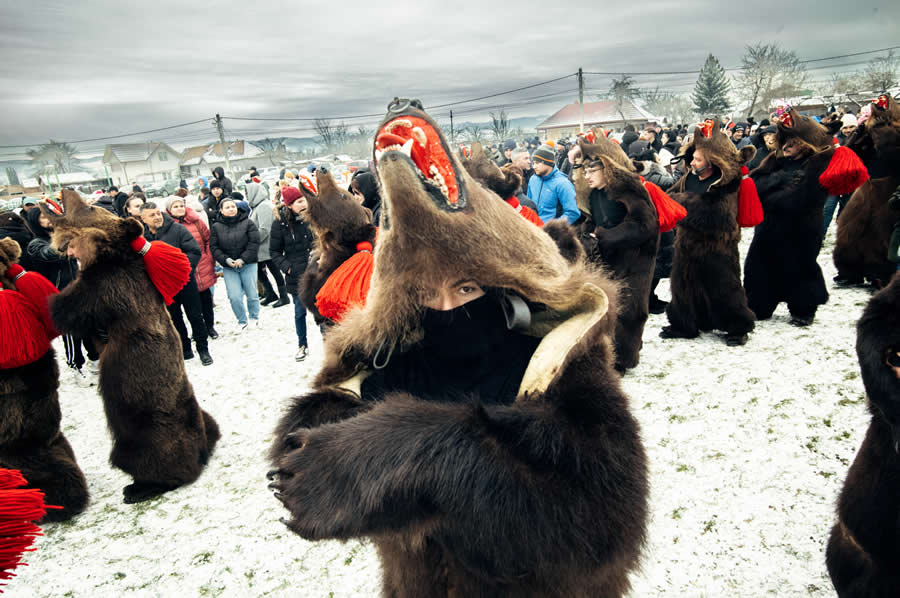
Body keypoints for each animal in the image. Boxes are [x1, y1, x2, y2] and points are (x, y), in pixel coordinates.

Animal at [40, 191, 220, 504]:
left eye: (89, 208)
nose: (66, 191)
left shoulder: (104, 286)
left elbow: (65, 309)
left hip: (144, 423)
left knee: (151, 455)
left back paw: (140, 487)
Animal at [268, 101, 647, 597]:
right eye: (426, 294)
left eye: (467, 288)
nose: (400, 102)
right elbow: (310, 408)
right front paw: (297, 451)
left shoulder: (578, 376)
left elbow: (596, 506)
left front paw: (320, 471)